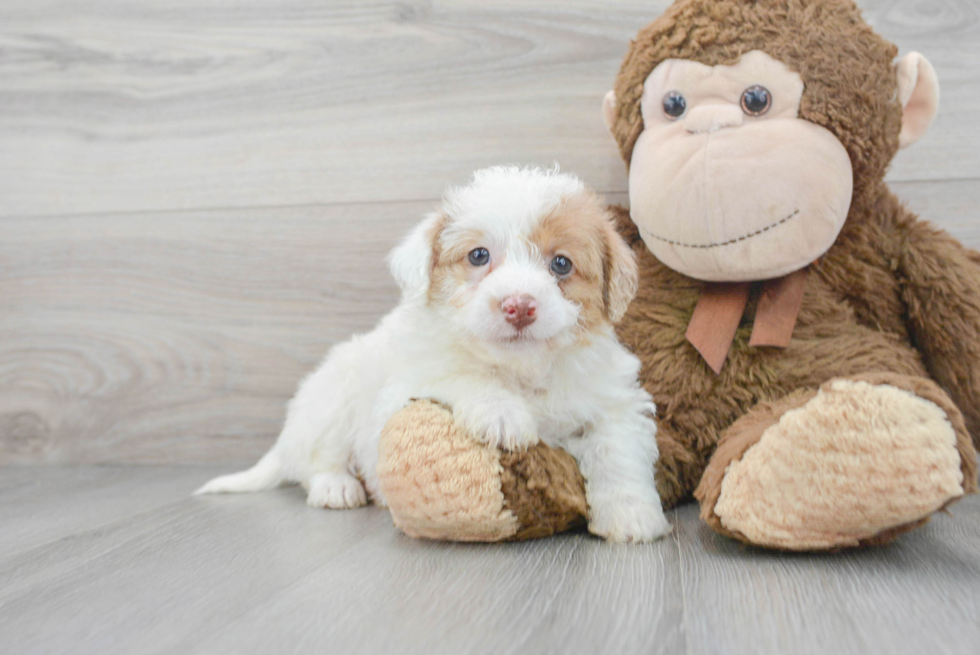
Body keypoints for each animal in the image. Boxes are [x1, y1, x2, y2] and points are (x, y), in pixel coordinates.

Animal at [199, 165, 672, 544]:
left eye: (561, 264)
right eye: (478, 255)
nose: (519, 305)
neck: (521, 369)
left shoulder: (613, 401)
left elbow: (618, 452)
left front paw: (632, 516)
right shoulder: (407, 383)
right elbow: (458, 373)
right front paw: (502, 413)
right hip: (332, 397)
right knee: (316, 460)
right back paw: (337, 486)